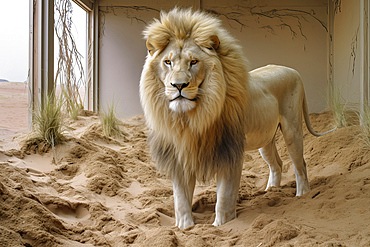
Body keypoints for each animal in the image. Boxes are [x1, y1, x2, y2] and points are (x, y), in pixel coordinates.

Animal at [139, 8, 336, 231]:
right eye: (168, 62)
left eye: (194, 62)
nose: (178, 85)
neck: (192, 119)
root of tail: (293, 70)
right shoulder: (180, 155)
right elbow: (180, 199)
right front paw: (184, 228)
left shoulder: (230, 151)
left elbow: (224, 197)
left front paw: (221, 225)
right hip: (265, 139)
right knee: (276, 164)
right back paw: (271, 191)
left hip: (292, 129)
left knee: (299, 163)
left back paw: (302, 194)